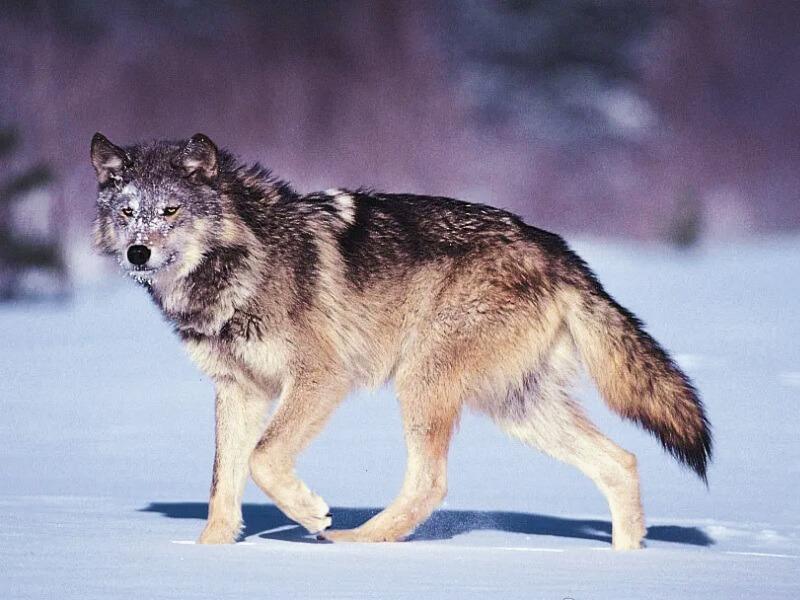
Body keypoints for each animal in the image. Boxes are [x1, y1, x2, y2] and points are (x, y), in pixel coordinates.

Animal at [90, 132, 711, 550]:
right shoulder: (237, 389)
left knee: (431, 484)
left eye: (171, 210)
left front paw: (311, 515)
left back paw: (355, 542)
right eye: (129, 213)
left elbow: (264, 458)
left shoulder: (320, 378)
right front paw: (209, 554)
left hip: (422, 380)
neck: (239, 263)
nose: (138, 253)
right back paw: (627, 561)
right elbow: (225, 479)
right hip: (517, 408)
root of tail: (556, 248)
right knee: (622, 461)